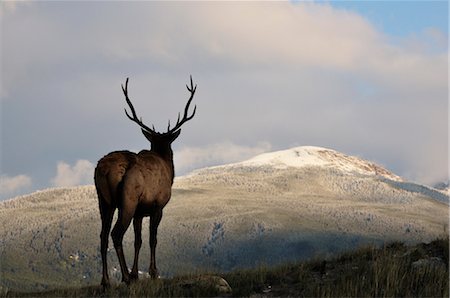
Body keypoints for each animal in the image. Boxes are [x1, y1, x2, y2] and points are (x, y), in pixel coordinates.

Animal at [95, 75, 197, 288]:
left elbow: (138, 240)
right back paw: (124, 278)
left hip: (104, 201)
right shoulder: (158, 205)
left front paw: (136, 273)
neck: (169, 170)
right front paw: (152, 272)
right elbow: (152, 239)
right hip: (128, 199)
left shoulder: (140, 212)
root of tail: (105, 169)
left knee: (103, 236)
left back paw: (106, 281)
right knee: (116, 234)